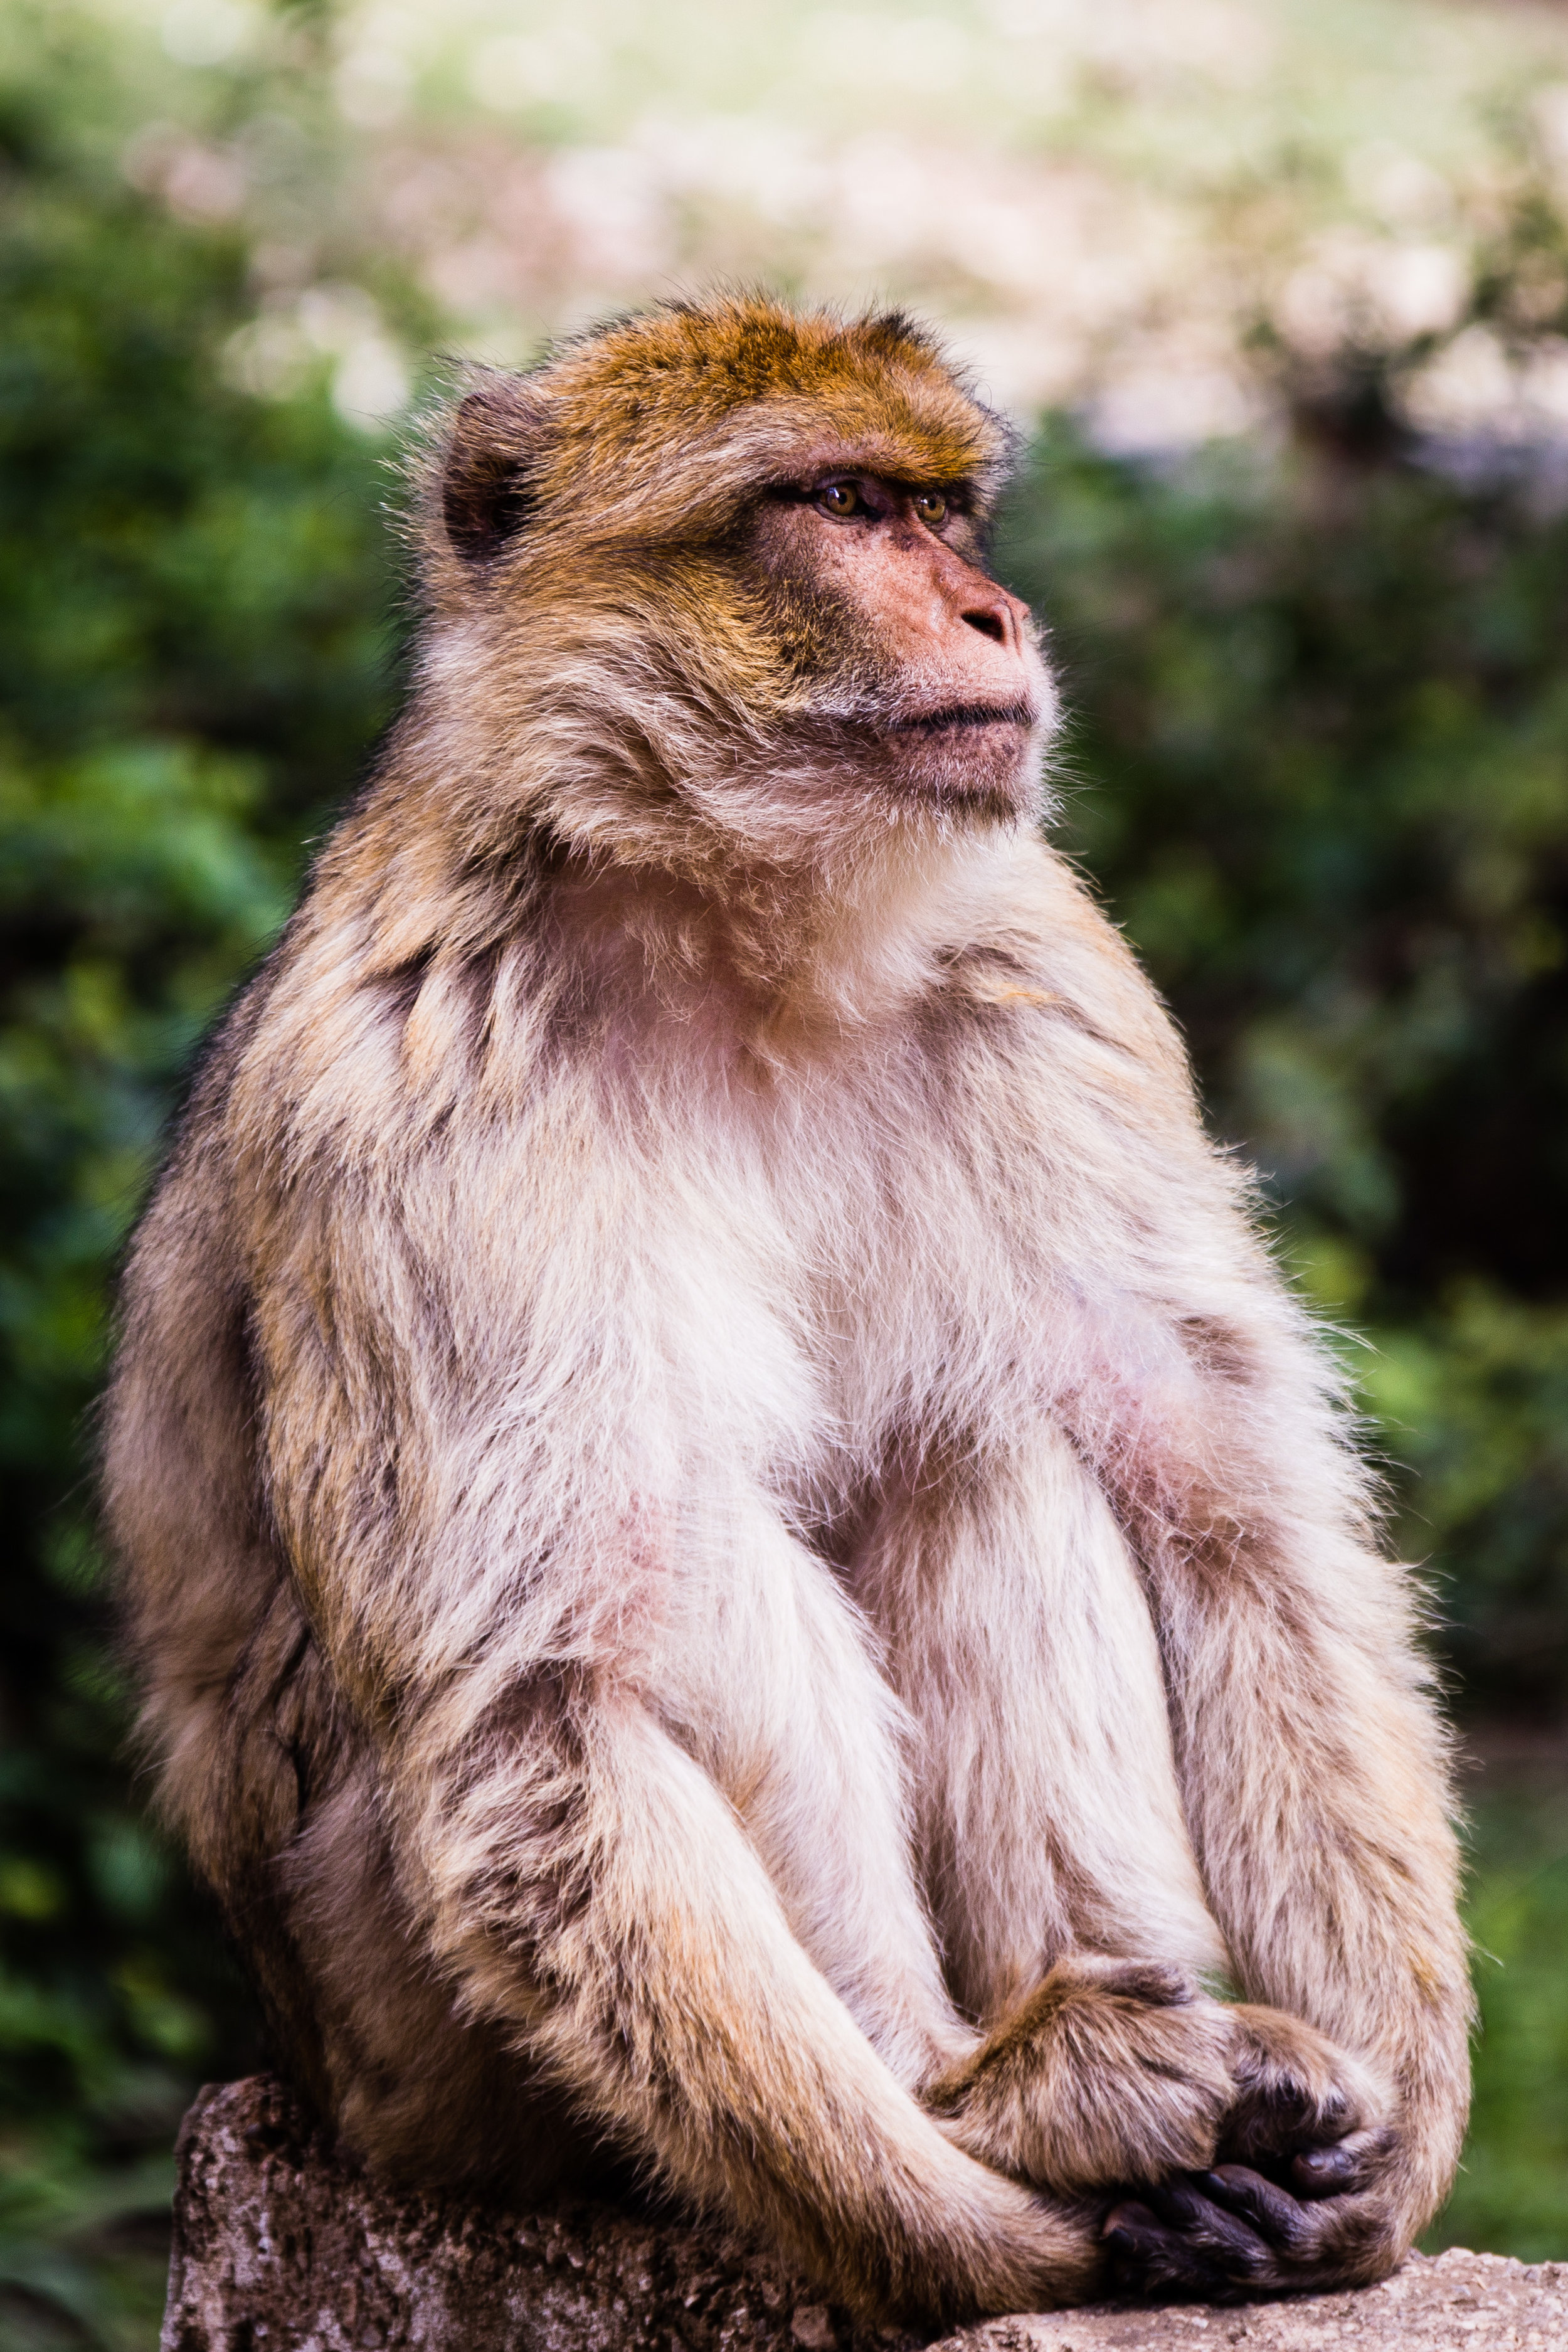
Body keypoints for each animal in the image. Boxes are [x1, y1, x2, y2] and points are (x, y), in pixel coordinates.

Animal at [107, 303, 1476, 2324]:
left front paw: (1386, 2158)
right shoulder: (417, 1077)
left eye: (941, 508)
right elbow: (544, 1688)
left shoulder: (1051, 973)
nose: (991, 611)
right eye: (834, 506)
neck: (740, 925)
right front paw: (964, 2225)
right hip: (408, 2035)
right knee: (680, 1558)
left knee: (987, 1452)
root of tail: (308, 2076)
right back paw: (999, 2087)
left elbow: (1231, 1504)